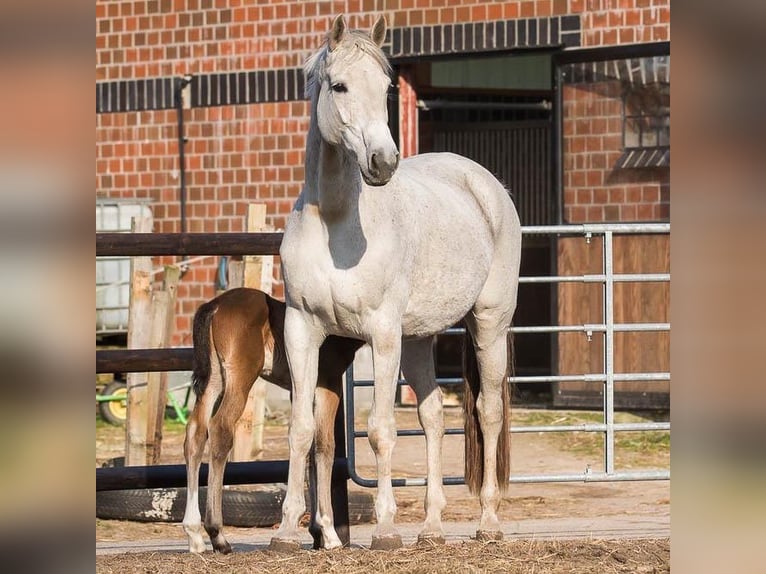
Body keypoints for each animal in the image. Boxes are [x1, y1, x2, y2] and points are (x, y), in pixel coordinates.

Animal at [272, 15, 520, 552]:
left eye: (386, 87)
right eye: (339, 86)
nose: (384, 162)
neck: (336, 222)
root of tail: (486, 184)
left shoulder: (382, 334)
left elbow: (381, 430)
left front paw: (385, 531)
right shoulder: (302, 330)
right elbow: (301, 429)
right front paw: (285, 531)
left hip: (489, 323)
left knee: (488, 411)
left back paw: (489, 522)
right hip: (420, 338)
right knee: (433, 419)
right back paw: (431, 528)